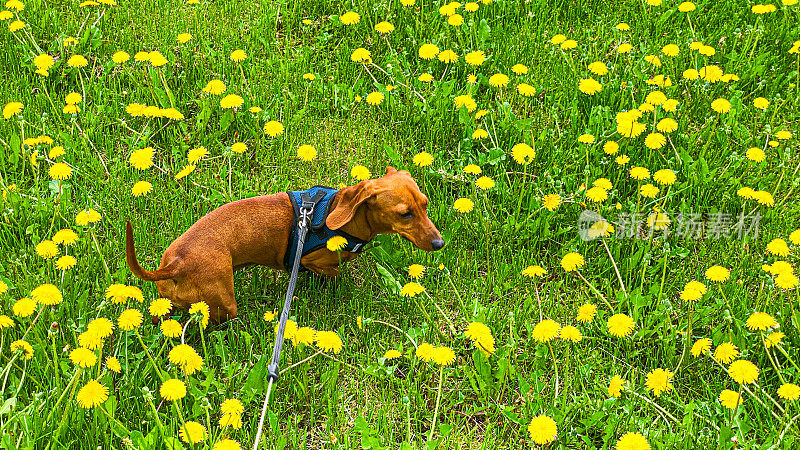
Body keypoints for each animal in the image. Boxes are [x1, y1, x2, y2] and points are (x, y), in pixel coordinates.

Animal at [125, 167, 444, 322]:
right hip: (224, 305)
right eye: (404, 213)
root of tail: (175, 264)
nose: (440, 243)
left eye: (426, 204)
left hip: (167, 304)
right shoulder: (312, 261)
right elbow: (331, 273)